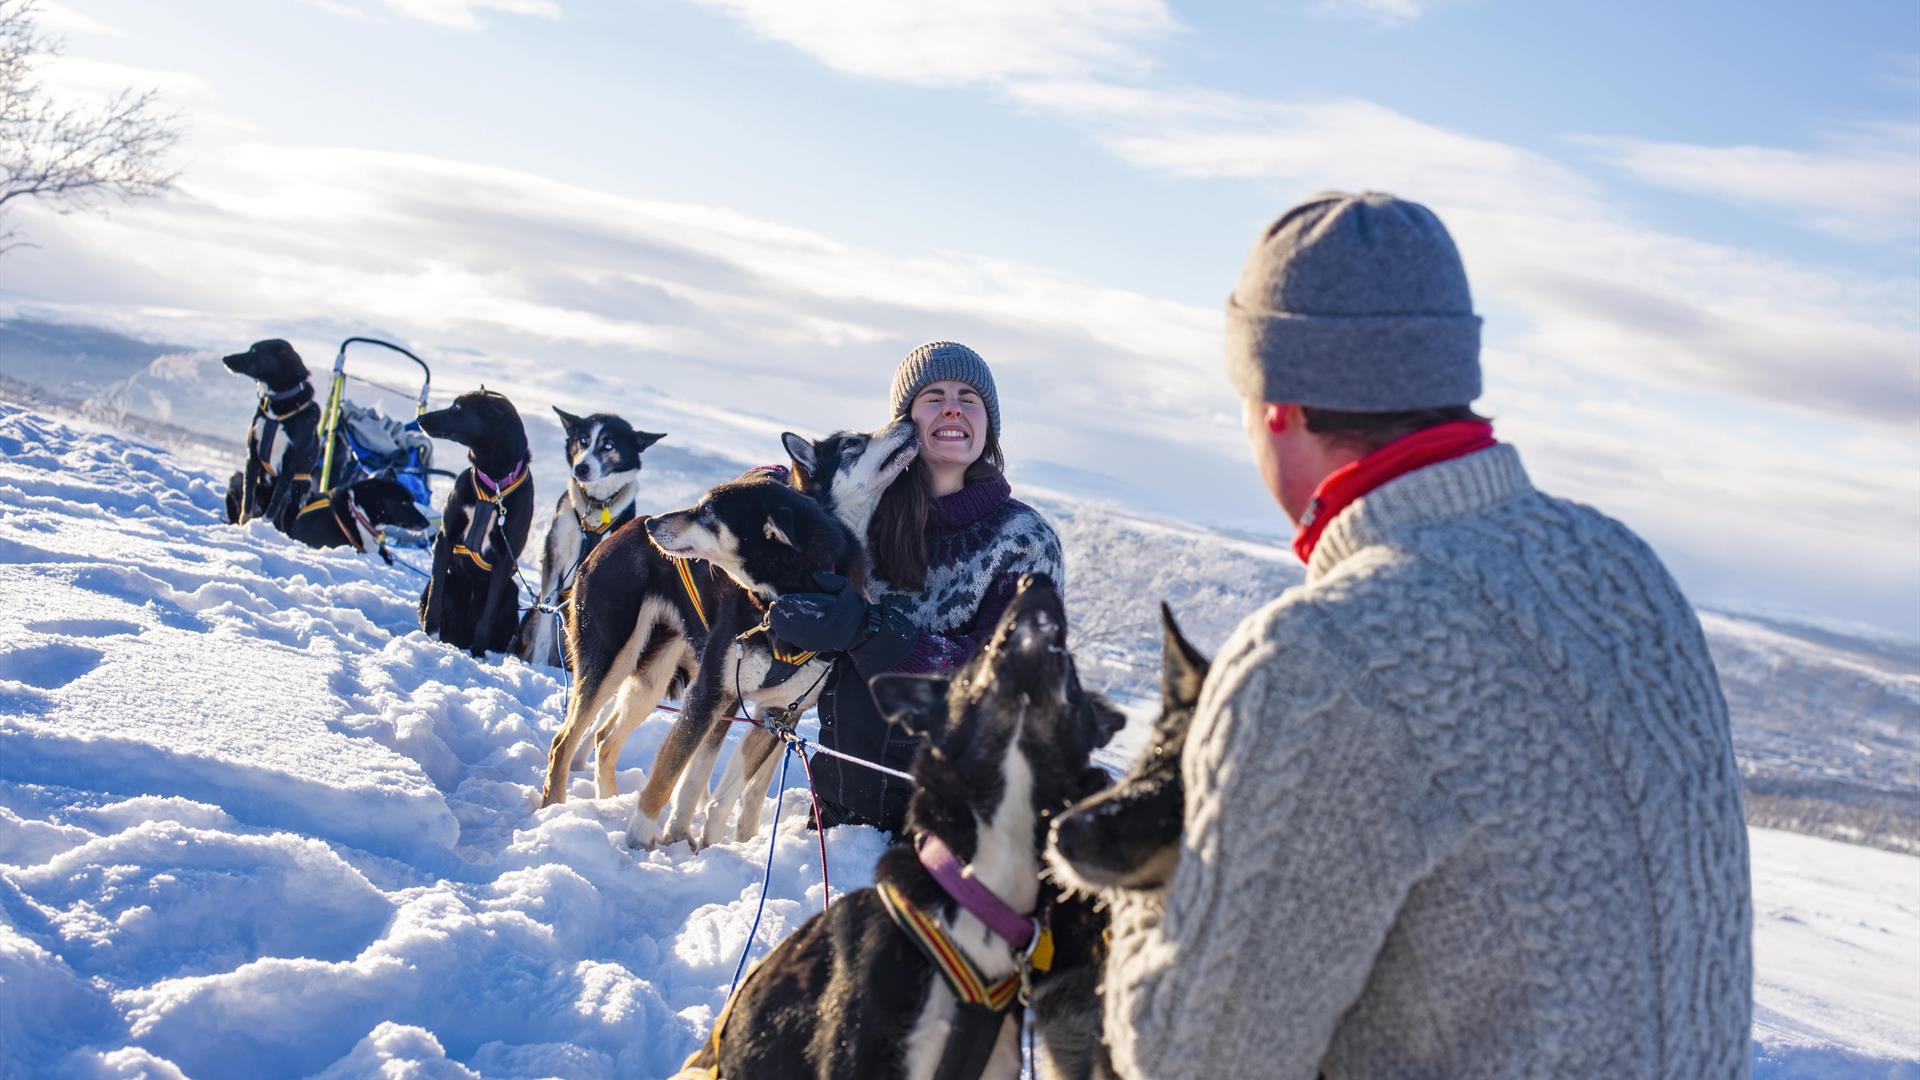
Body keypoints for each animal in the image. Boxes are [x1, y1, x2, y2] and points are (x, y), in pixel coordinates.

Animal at [220, 332, 322, 526]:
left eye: (254, 351)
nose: (225, 358)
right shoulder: (252, 456)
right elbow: (247, 503)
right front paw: (244, 526)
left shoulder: (289, 467)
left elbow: (273, 506)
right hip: (236, 477)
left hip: (301, 490)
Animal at [418, 386, 537, 657]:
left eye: (459, 408)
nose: (420, 418)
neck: (494, 483)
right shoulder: (446, 537)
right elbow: (436, 594)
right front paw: (430, 631)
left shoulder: (506, 557)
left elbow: (488, 613)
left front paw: (480, 650)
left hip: (512, 591)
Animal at [510, 407, 668, 668]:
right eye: (583, 440)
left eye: (608, 446)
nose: (581, 468)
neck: (594, 505)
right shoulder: (554, 557)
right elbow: (545, 623)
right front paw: (539, 662)